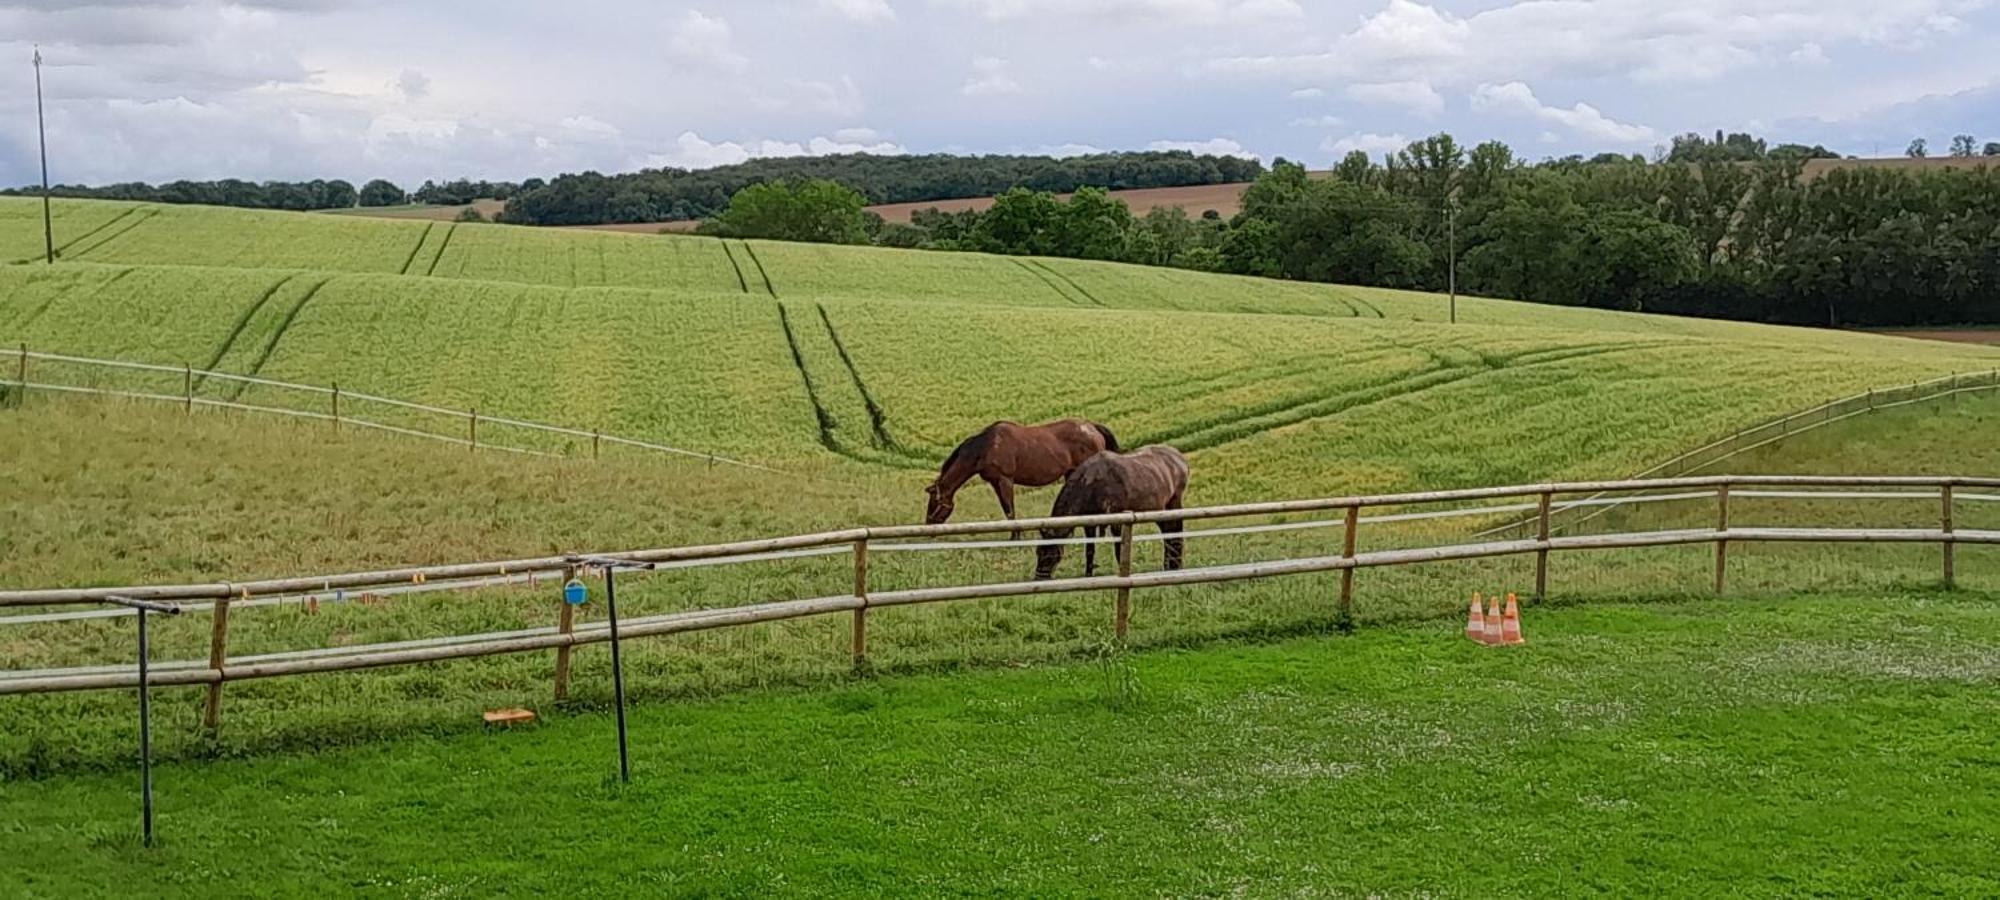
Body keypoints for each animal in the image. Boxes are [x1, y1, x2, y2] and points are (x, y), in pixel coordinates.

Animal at [924, 416, 1120, 532]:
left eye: (933, 501)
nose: (928, 525)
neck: (987, 446)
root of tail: (1092, 428)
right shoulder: (995, 482)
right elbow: (1006, 510)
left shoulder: (1005, 480)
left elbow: (1010, 511)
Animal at [1032, 446, 1184, 580]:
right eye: (1038, 552)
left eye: (1051, 555)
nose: (1039, 577)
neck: (1092, 483)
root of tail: (1178, 457)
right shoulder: (1089, 523)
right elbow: (1090, 550)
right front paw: (1088, 574)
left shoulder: (1117, 521)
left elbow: (1118, 550)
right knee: (1168, 533)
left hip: (1173, 504)